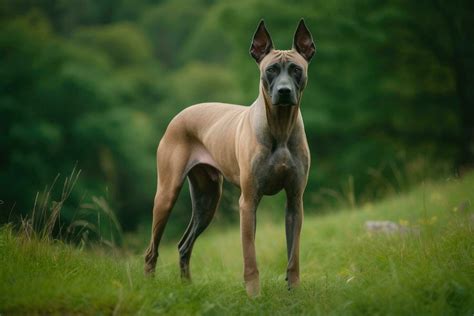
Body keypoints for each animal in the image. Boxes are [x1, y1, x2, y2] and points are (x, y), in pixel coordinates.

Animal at [144, 19, 314, 296]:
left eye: (296, 69)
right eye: (271, 70)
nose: (284, 91)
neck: (280, 127)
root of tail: (179, 114)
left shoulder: (294, 201)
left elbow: (293, 256)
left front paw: (295, 292)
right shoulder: (248, 202)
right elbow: (250, 257)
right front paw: (254, 295)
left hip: (207, 199)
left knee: (184, 244)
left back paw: (188, 287)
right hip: (167, 194)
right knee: (152, 249)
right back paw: (149, 285)